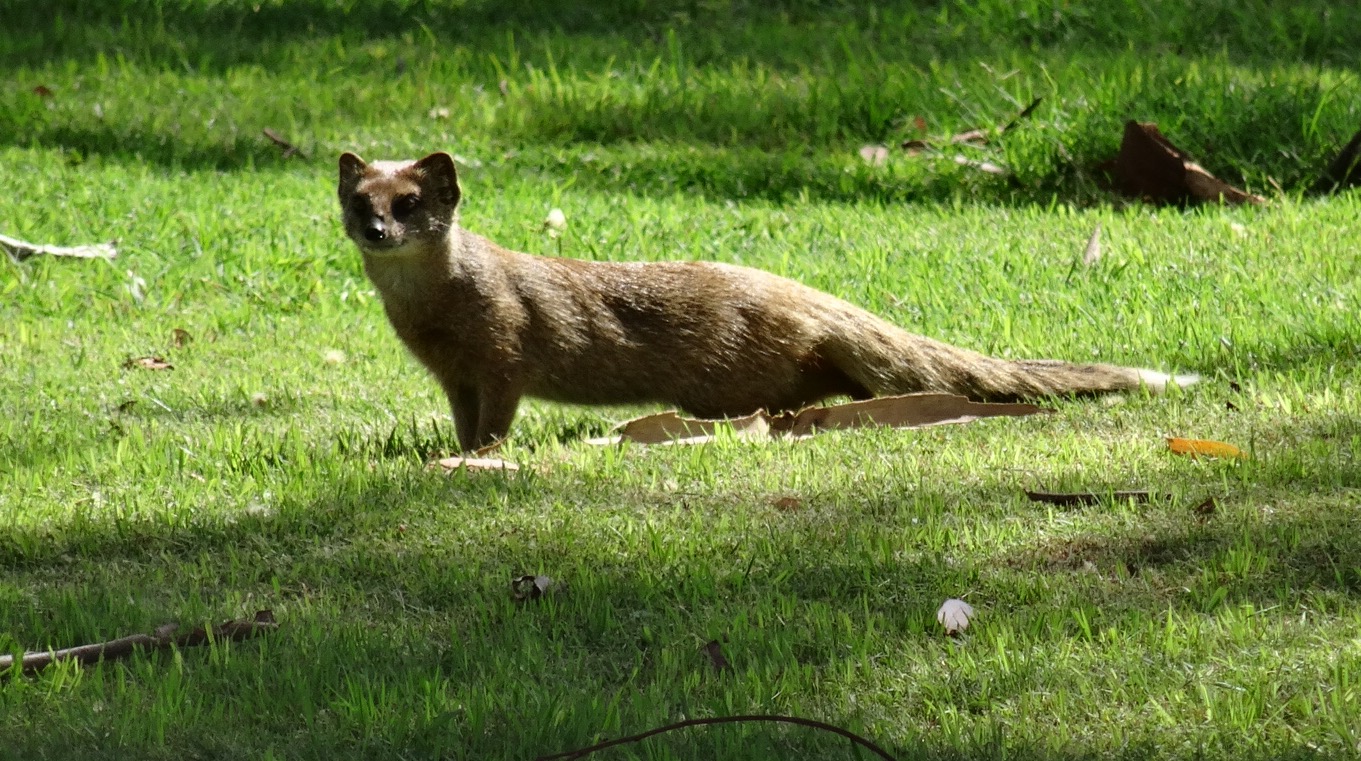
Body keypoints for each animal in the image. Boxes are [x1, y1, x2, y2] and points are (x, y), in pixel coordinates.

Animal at [338, 151, 1196, 452]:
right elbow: (463, 417)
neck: (432, 316)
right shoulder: (453, 373)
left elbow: (496, 419)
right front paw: (456, 447)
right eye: (358, 201)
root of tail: (800, 293)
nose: (378, 228)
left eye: (412, 201)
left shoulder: (504, 350)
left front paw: (478, 457)